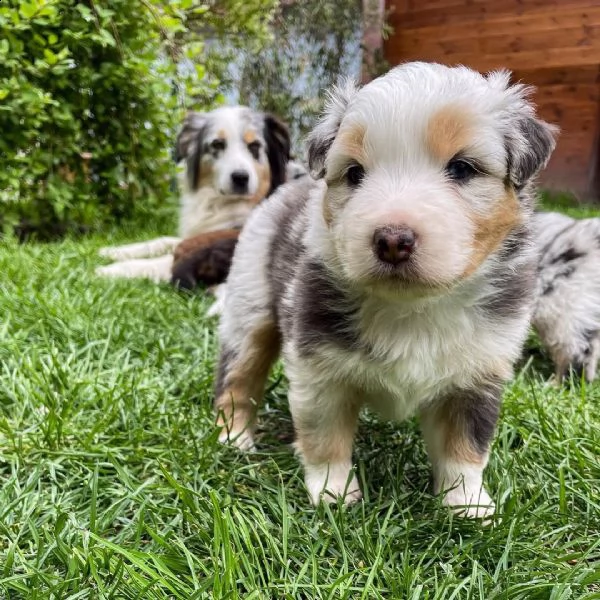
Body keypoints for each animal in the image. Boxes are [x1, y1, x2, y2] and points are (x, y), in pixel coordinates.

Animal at [213, 63, 556, 516]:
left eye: (463, 168)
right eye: (354, 173)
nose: (392, 240)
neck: (414, 309)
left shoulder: (478, 374)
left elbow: (465, 445)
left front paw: (466, 506)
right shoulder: (318, 370)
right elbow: (325, 436)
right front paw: (334, 493)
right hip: (249, 309)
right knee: (237, 378)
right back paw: (234, 438)